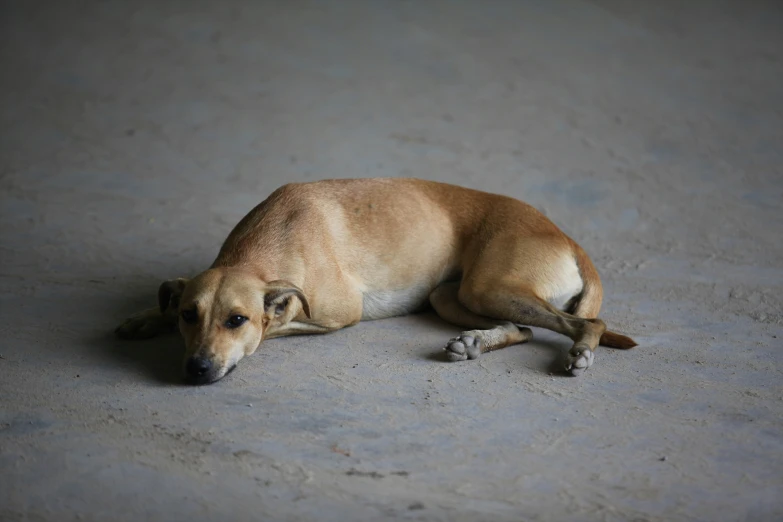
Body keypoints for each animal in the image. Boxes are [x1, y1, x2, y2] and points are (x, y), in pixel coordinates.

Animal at [115, 178, 636, 382]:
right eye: (190, 315)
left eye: (237, 320)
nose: (196, 369)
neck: (262, 249)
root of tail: (567, 237)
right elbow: (165, 301)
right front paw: (147, 316)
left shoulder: (336, 313)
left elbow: (276, 324)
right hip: (452, 296)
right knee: (524, 329)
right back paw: (475, 342)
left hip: (488, 287)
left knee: (587, 324)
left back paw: (580, 352)